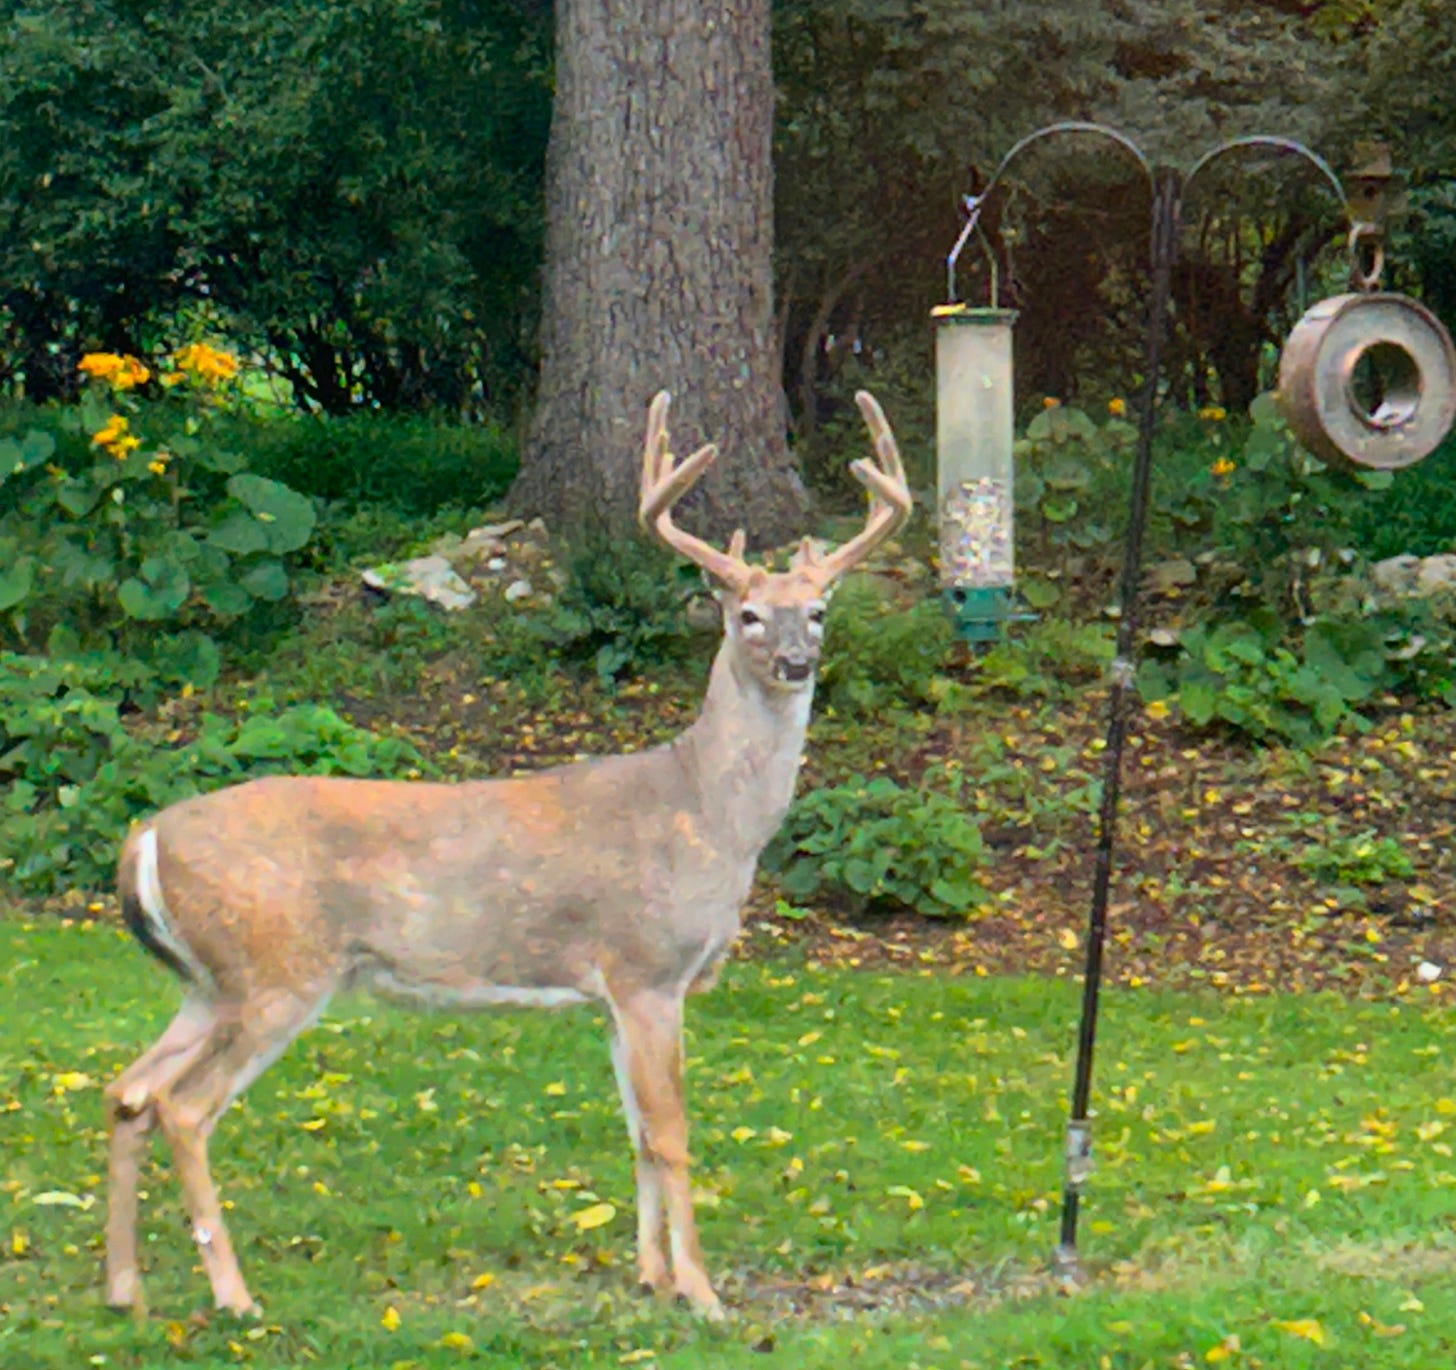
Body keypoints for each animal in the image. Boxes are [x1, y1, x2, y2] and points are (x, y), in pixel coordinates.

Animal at [102, 388, 912, 1321]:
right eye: (745, 613)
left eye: (818, 610)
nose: (796, 660)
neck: (707, 813)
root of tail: (145, 838)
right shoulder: (647, 968)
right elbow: (672, 1134)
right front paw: (703, 1294)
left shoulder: (612, 995)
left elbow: (636, 1132)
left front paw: (651, 1275)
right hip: (277, 969)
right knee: (182, 1107)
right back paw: (236, 1297)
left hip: (210, 982)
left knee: (127, 1091)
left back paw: (124, 1290)